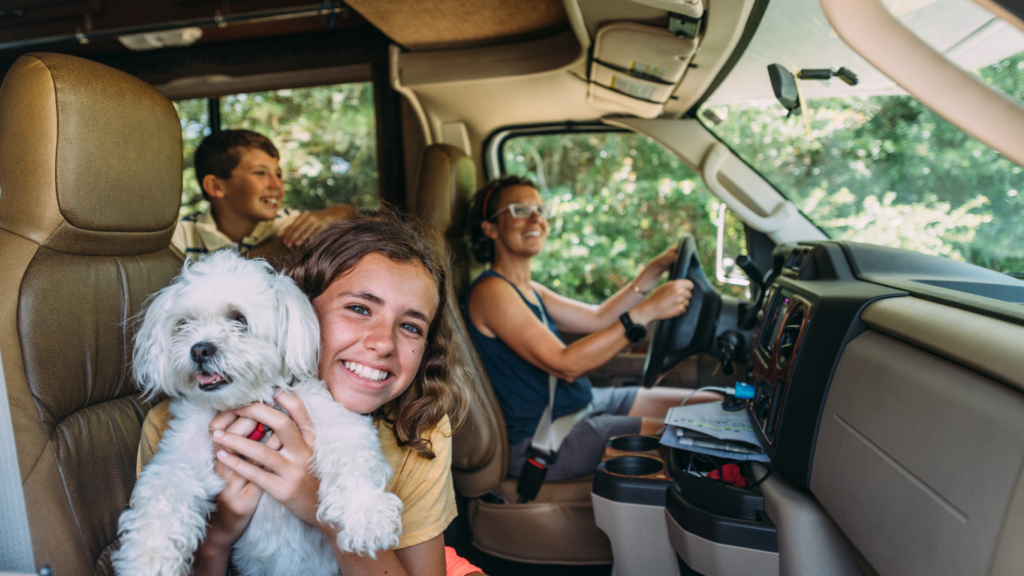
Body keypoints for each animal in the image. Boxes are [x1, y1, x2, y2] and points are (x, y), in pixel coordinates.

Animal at [112, 251, 399, 573]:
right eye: (184, 324)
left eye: (239, 319)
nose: (199, 350)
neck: (247, 403)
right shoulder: (181, 454)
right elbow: (164, 491)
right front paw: (148, 556)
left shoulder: (334, 417)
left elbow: (352, 455)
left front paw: (366, 515)